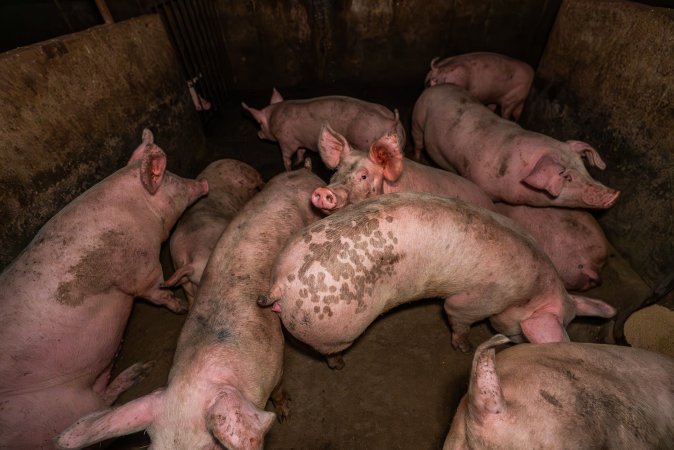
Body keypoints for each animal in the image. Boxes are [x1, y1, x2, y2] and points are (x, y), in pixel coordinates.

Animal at [0, 129, 208, 450]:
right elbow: (156, 292)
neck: (140, 212)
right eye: (173, 180)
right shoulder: (142, 270)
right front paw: (180, 307)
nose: (203, 184)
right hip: (60, 407)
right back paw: (138, 372)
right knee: (101, 406)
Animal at [242, 88, 406, 171]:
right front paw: (298, 163)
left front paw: (288, 169)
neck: (274, 117)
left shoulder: (286, 141)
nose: (258, 134)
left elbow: (287, 157)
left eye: (259, 123)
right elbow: (302, 151)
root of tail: (391, 120)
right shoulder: (300, 139)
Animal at [258, 192, 615, 364]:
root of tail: (282, 283)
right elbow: (456, 314)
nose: (518, 345)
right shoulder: (478, 299)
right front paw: (464, 348)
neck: (529, 292)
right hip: (334, 327)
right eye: (523, 334)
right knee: (331, 350)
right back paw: (340, 364)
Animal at [411, 84, 620, 209]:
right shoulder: (482, 183)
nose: (615, 194)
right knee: (418, 142)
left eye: (583, 167)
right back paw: (417, 158)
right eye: (567, 177)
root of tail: (434, 87)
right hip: (418, 120)